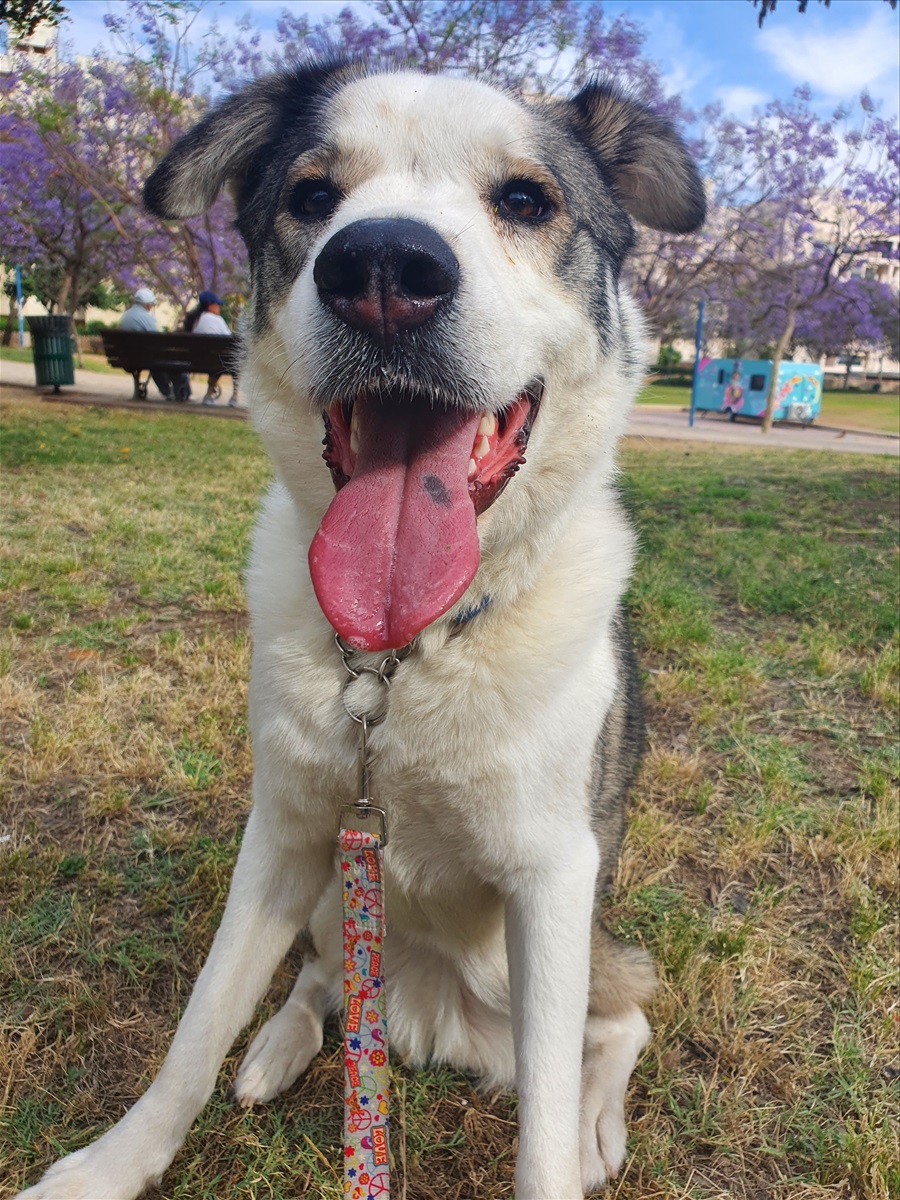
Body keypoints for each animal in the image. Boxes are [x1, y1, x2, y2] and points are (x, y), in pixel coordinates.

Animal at [15, 63, 705, 1200]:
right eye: (310, 195)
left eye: (526, 199)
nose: (382, 265)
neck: (401, 653)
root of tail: (424, 1017)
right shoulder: (287, 831)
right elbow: (195, 1029)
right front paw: (109, 1166)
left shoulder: (554, 878)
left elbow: (544, 1128)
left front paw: (569, 1142)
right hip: (337, 906)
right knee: (319, 986)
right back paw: (281, 1047)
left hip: (550, 960)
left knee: (619, 1020)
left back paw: (597, 1122)